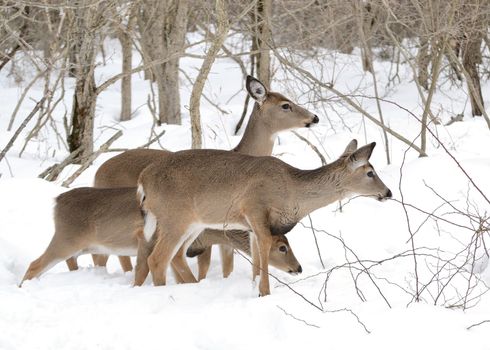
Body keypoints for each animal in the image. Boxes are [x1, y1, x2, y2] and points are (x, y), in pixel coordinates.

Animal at [20, 187, 302, 286]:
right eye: (282, 247)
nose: (298, 268)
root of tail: (57, 202)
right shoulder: (148, 239)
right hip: (66, 240)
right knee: (34, 264)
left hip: (80, 247)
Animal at [136, 139, 392, 296]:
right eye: (370, 172)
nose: (388, 192)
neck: (292, 191)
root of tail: (143, 180)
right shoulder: (254, 209)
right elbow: (265, 247)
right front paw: (264, 293)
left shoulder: (250, 226)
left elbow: (257, 257)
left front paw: (255, 288)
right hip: (175, 218)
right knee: (157, 259)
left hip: (194, 223)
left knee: (177, 256)